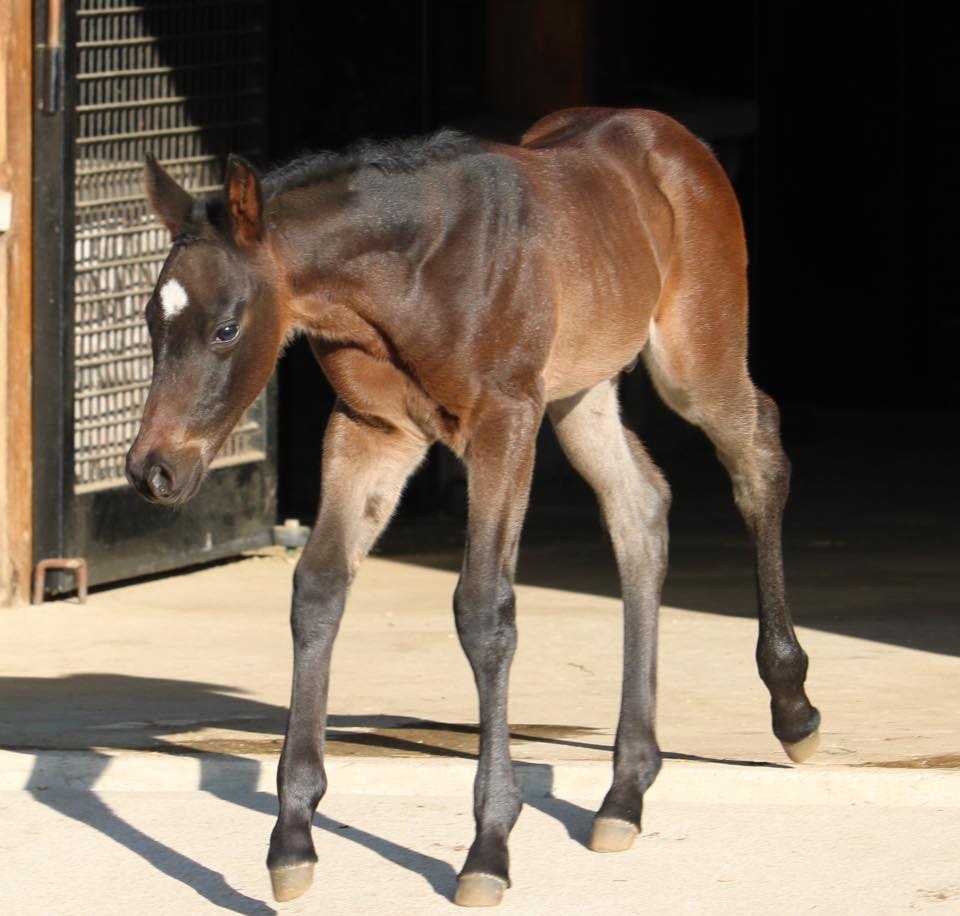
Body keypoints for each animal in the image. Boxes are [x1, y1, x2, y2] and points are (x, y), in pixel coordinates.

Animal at [124, 109, 820, 908]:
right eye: (150, 320)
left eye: (226, 329)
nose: (152, 471)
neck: (409, 276)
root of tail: (669, 135)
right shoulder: (373, 430)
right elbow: (319, 591)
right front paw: (292, 838)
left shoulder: (503, 420)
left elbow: (485, 611)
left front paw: (489, 847)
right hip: (580, 392)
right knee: (640, 508)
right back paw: (625, 792)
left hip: (691, 355)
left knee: (758, 453)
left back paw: (793, 709)